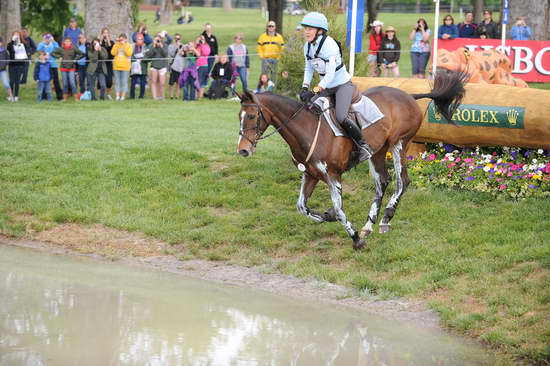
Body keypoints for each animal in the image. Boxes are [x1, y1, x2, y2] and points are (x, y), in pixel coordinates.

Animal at [236, 70, 466, 250]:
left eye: (251, 116)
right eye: (239, 116)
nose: (243, 150)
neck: (305, 129)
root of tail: (409, 95)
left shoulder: (333, 176)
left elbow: (339, 210)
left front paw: (355, 239)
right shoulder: (310, 174)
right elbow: (302, 206)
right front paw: (328, 216)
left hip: (399, 143)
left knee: (402, 181)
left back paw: (385, 218)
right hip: (378, 151)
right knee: (382, 182)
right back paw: (368, 226)